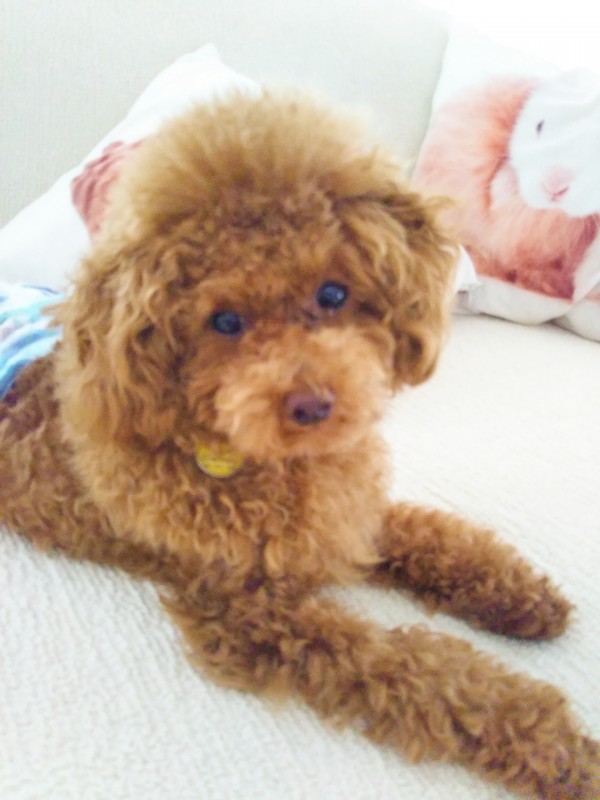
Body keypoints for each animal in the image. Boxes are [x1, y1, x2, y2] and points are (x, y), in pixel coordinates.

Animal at [1, 91, 598, 799]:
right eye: (224, 321)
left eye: (333, 293)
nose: (313, 404)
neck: (267, 464)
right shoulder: (249, 613)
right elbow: (419, 668)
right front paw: (557, 745)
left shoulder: (346, 516)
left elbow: (430, 533)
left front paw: (518, 594)